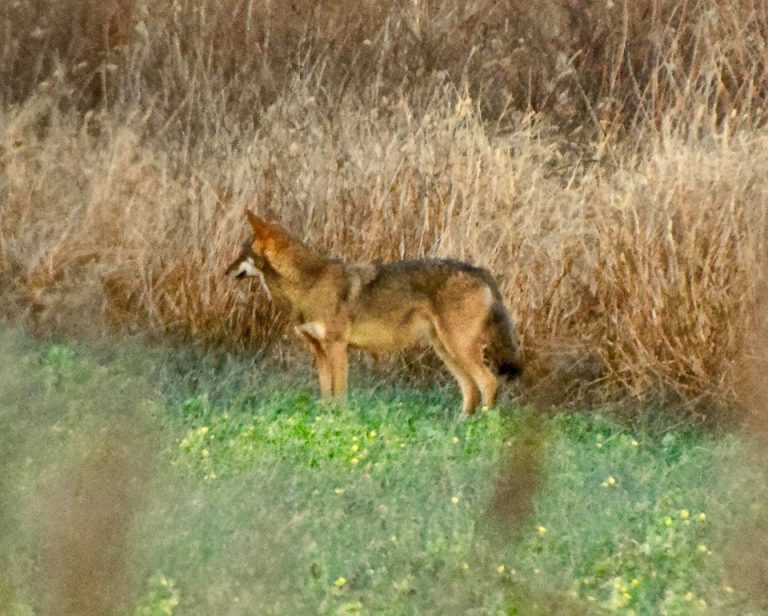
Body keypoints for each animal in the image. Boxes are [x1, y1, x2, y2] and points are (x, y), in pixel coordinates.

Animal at [226, 210, 522, 418]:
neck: (307, 285)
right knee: (471, 389)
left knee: (488, 383)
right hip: (446, 351)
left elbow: (339, 394)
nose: (225, 272)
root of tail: (480, 271)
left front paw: (340, 422)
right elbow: (325, 396)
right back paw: (460, 426)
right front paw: (324, 422)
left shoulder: (337, 347)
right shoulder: (319, 352)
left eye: (241, 253)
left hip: (457, 348)